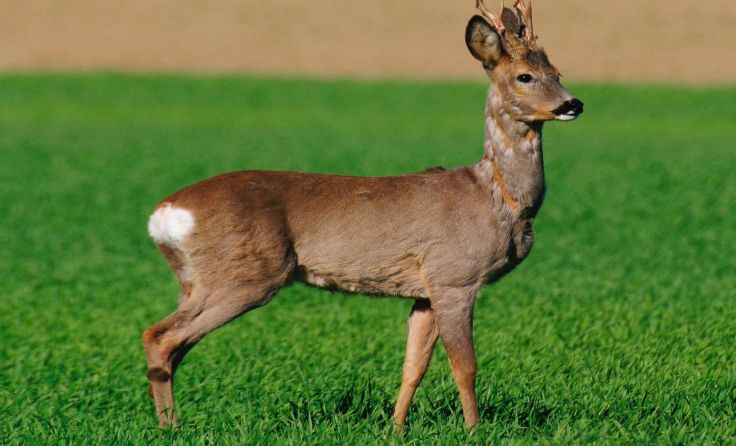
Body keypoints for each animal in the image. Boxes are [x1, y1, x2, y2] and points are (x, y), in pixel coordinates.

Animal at [142, 0, 583, 431]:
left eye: (557, 72)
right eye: (525, 76)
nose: (572, 104)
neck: (498, 198)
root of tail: (164, 214)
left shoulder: (424, 291)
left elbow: (413, 367)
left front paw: (395, 429)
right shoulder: (455, 276)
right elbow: (466, 366)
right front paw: (475, 431)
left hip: (197, 280)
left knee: (173, 344)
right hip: (244, 274)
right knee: (160, 337)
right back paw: (171, 429)